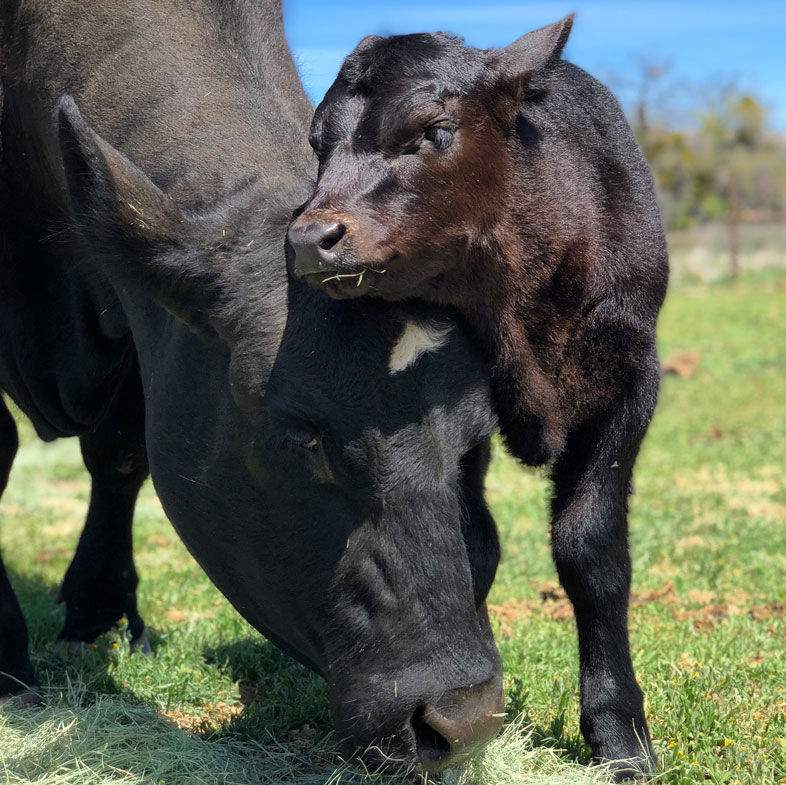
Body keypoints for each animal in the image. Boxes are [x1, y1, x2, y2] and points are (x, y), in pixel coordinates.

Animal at [288, 15, 668, 780]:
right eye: (318, 145)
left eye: (432, 129)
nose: (311, 238)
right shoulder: (455, 403)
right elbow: (472, 543)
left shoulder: (632, 382)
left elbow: (592, 549)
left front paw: (621, 736)